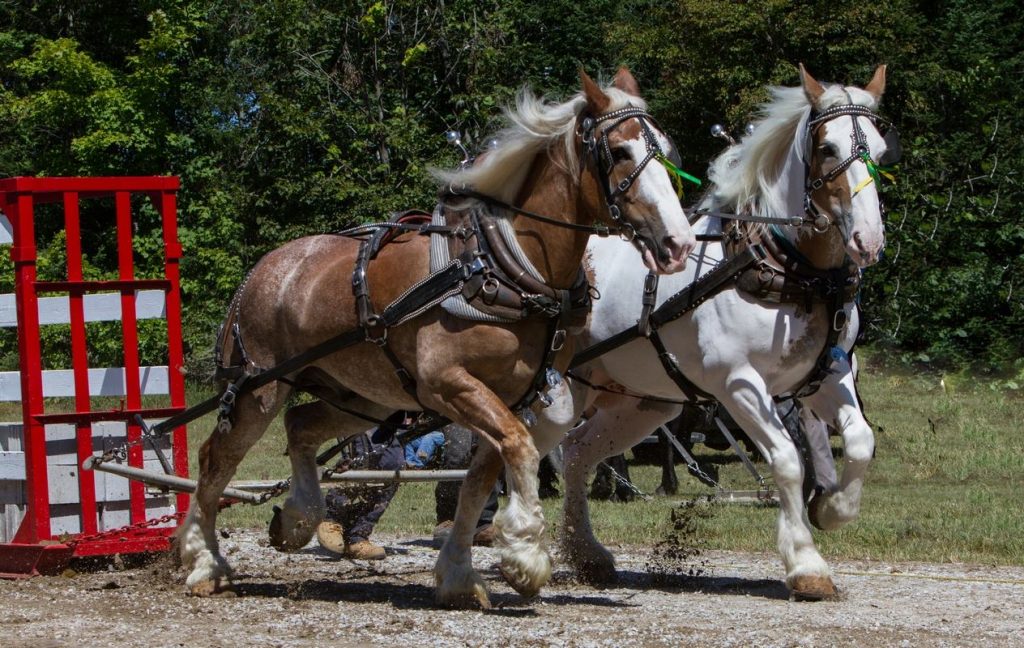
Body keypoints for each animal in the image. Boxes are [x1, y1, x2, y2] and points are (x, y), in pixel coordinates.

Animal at [176, 68, 696, 608]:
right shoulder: (449, 383)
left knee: (299, 425)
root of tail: (261, 271)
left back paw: (299, 518)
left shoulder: (514, 394)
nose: (679, 244)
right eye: (620, 152)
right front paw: (524, 556)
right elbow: (521, 449)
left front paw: (459, 574)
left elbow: (481, 476)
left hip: (363, 397)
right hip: (258, 389)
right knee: (216, 460)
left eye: (667, 152)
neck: (501, 267)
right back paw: (204, 563)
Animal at [534, 64, 895, 600]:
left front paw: (831, 509)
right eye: (828, 148)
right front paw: (805, 562)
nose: (868, 240)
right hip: (562, 389)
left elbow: (859, 442)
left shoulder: (828, 375)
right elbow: (788, 460)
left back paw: (587, 554)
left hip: (642, 403)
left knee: (576, 452)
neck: (787, 270)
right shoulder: (738, 382)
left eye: (881, 149)